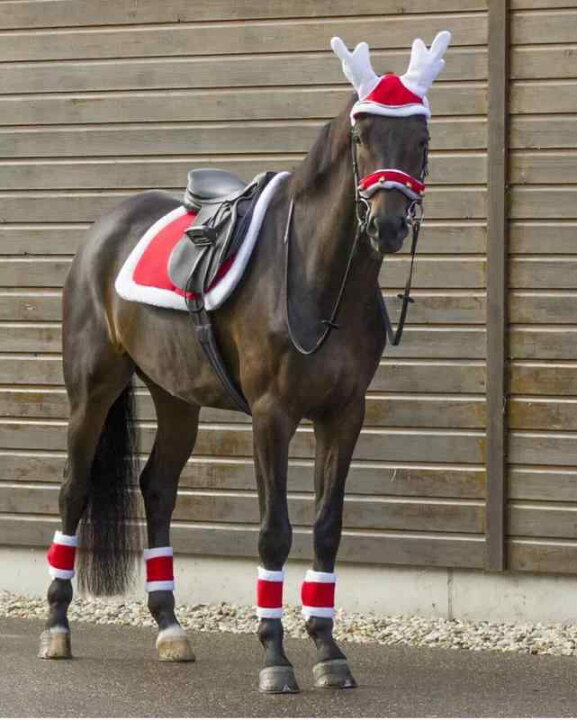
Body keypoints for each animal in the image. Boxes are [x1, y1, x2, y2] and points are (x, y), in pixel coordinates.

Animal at [38, 32, 450, 693]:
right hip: (92, 389)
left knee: (157, 488)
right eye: (361, 134)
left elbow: (327, 527)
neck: (316, 277)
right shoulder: (271, 415)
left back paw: (170, 628)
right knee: (73, 490)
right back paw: (57, 627)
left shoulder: (344, 415)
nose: (387, 225)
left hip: (175, 397)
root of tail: (104, 229)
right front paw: (276, 658)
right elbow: (274, 532)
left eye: (422, 138)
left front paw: (329, 651)